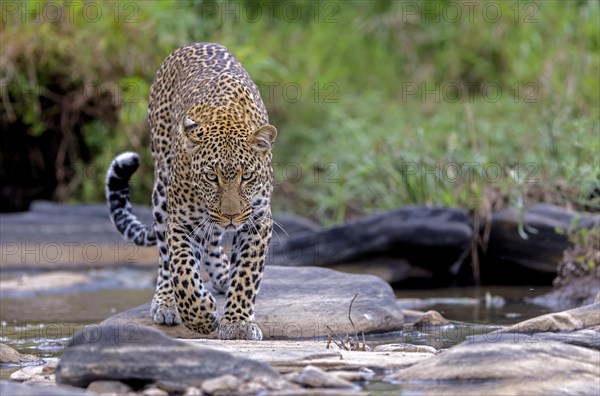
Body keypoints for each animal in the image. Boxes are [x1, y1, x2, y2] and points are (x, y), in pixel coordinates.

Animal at [105, 42, 276, 340]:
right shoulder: (181, 222)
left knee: (212, 239)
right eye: (211, 177)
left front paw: (238, 323)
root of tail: (195, 44)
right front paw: (202, 317)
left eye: (246, 177)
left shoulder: (258, 220)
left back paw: (222, 276)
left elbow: (246, 274)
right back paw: (166, 302)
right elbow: (183, 273)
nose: (231, 216)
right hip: (162, 192)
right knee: (166, 259)